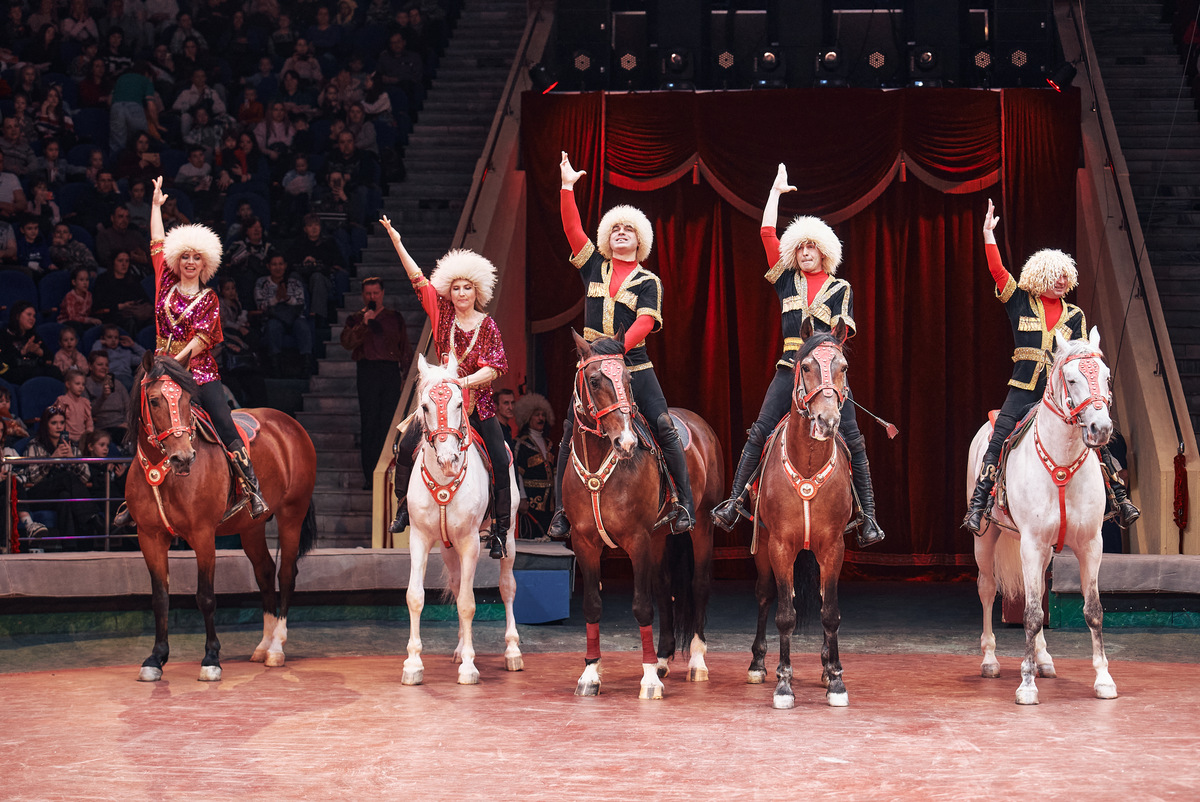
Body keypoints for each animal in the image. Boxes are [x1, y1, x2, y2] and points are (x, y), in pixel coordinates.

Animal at [126, 352, 316, 681]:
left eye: (188, 399)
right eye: (153, 400)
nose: (183, 457)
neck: (165, 473)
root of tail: (290, 424)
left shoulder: (203, 535)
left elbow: (205, 597)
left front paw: (211, 658)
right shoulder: (150, 537)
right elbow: (160, 597)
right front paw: (156, 658)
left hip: (293, 512)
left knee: (286, 574)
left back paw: (276, 648)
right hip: (251, 528)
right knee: (265, 572)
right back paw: (263, 645)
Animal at [403, 352, 520, 686]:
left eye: (458, 403)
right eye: (425, 407)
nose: (448, 460)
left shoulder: (470, 543)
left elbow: (469, 603)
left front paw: (469, 668)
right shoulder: (420, 538)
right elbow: (416, 597)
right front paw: (413, 664)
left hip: (508, 535)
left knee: (507, 587)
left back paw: (512, 652)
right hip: (447, 547)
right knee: (456, 586)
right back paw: (458, 649)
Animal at [561, 328, 720, 696]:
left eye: (629, 381)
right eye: (593, 380)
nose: (627, 443)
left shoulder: (638, 540)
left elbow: (642, 605)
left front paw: (648, 679)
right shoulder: (584, 542)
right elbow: (592, 604)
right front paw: (590, 672)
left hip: (702, 525)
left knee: (699, 584)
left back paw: (696, 661)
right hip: (660, 536)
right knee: (663, 586)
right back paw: (662, 658)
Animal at [744, 319, 859, 705]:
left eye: (843, 368)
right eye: (806, 367)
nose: (827, 420)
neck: (808, 464)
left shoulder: (833, 548)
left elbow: (831, 613)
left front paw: (836, 678)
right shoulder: (780, 546)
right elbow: (784, 614)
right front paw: (783, 682)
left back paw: (825, 667)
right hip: (763, 548)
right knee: (765, 595)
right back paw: (758, 664)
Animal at [964, 328, 1113, 705]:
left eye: (1106, 377)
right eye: (1072, 379)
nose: (1100, 428)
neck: (1062, 463)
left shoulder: (1091, 544)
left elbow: (1093, 611)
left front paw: (1104, 679)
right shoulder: (1030, 544)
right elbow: (1031, 615)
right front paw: (1026, 685)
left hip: (1046, 550)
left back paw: (1044, 658)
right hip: (985, 538)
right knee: (987, 588)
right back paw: (990, 659)